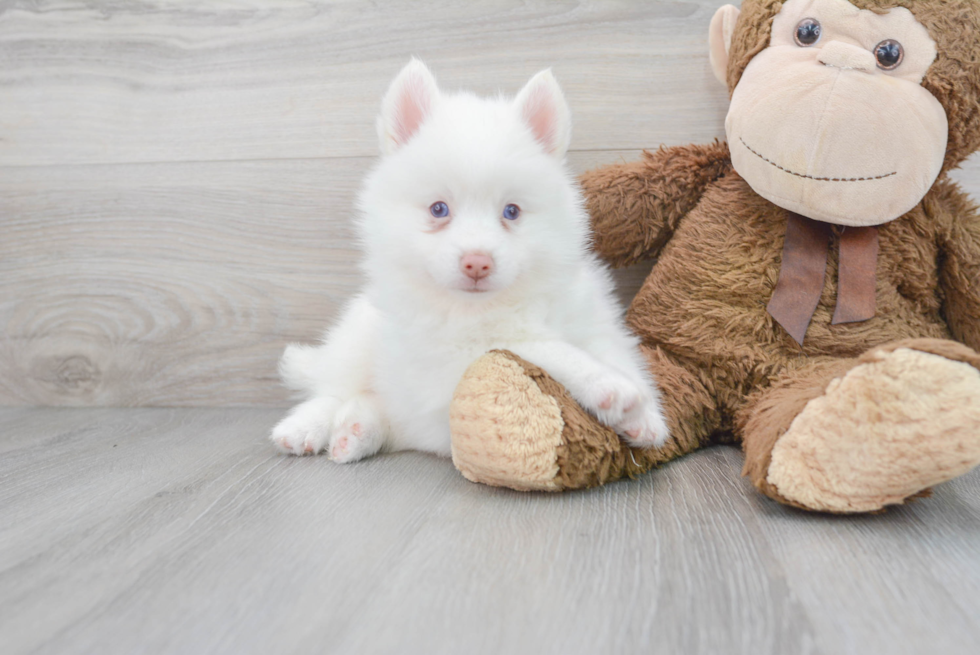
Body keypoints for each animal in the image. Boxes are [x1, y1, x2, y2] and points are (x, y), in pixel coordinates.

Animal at [272, 60, 668, 462]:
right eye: (439, 209)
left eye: (511, 211)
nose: (477, 263)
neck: (497, 305)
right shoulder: (456, 360)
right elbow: (538, 347)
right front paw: (607, 385)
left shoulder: (591, 322)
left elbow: (614, 353)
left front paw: (645, 417)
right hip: (357, 341)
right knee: (332, 389)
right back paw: (306, 427)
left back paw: (355, 431)